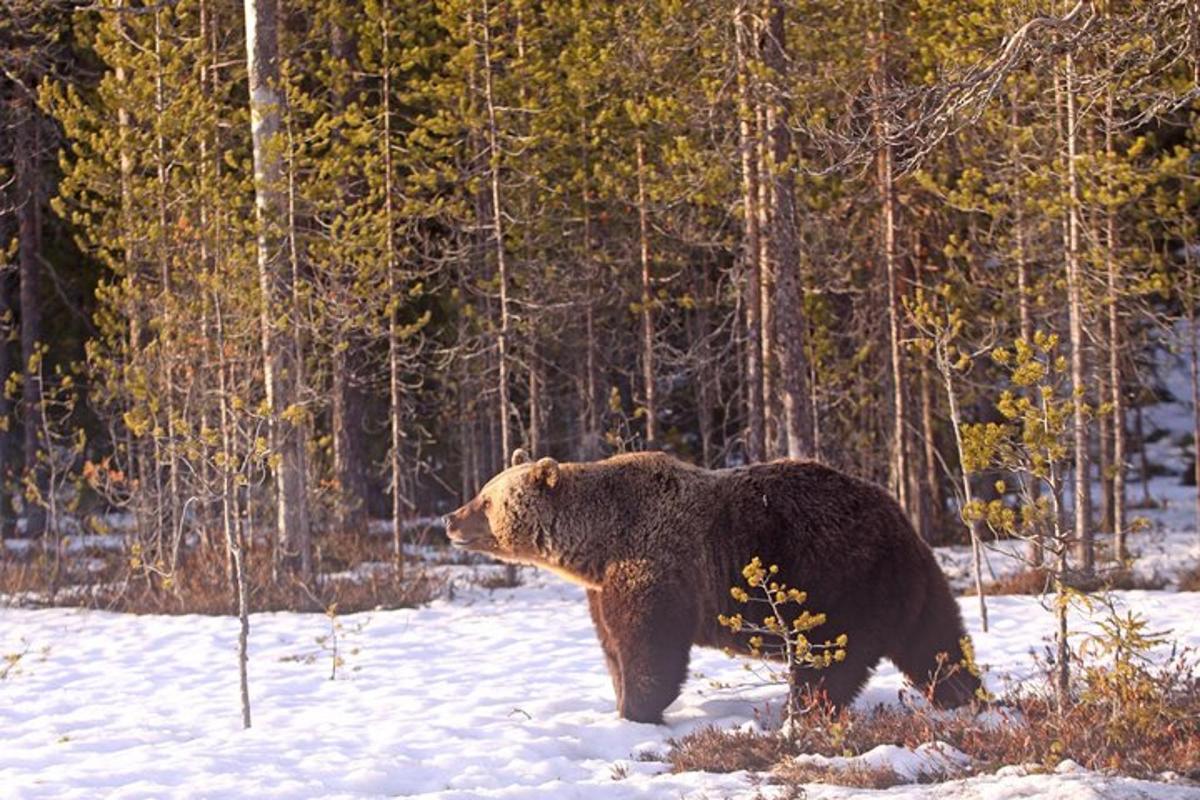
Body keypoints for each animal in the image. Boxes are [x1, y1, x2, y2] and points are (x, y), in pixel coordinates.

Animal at [446, 450, 979, 724]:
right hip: (908, 585)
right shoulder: (602, 587)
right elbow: (613, 647)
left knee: (826, 664)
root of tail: (899, 519)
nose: (451, 519)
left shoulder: (658, 565)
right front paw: (620, 702)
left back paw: (800, 713)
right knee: (937, 642)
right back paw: (964, 697)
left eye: (487, 499)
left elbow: (651, 648)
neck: (598, 544)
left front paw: (638, 710)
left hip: (838, 582)